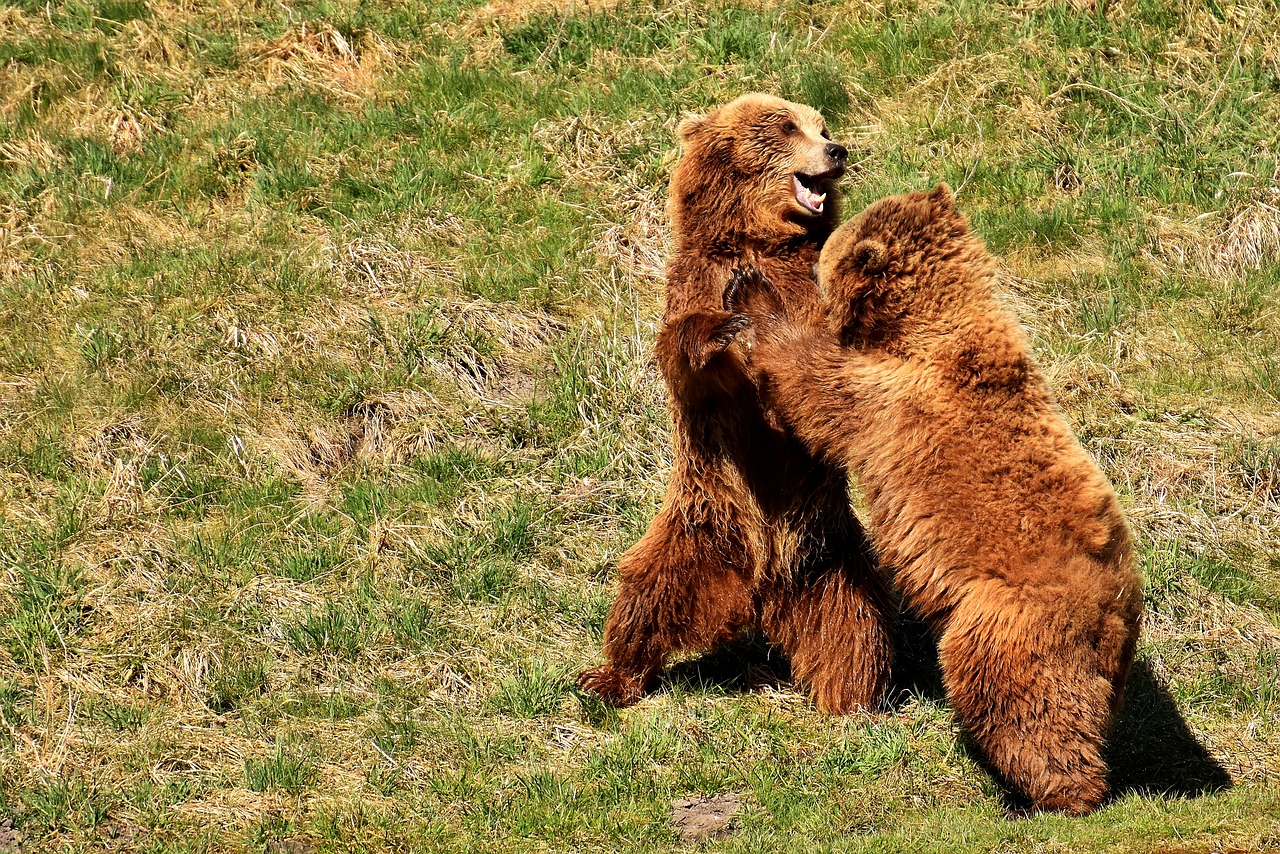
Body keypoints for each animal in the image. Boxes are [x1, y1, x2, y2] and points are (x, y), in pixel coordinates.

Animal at [576, 93, 896, 717]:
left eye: (822, 125)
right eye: (786, 126)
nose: (837, 149)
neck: (760, 239)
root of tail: (759, 589)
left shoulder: (811, 288)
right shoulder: (699, 279)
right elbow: (689, 356)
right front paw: (726, 329)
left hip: (829, 558)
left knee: (853, 621)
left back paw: (852, 694)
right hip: (699, 527)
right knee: (644, 594)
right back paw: (611, 677)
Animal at [727, 185, 1146, 814]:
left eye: (824, 257)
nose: (813, 251)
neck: (924, 323)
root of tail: (1116, 609)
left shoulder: (890, 398)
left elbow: (812, 386)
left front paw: (752, 298)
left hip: (1009, 621)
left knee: (1014, 699)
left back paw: (1054, 794)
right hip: (1105, 666)